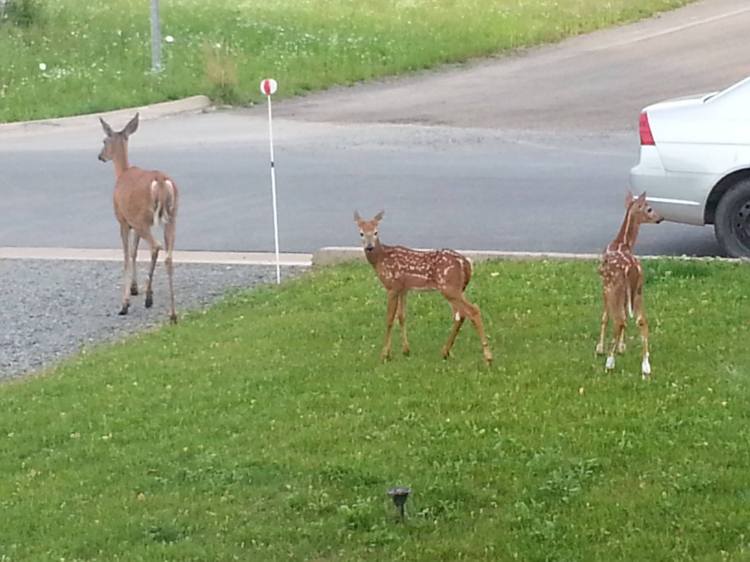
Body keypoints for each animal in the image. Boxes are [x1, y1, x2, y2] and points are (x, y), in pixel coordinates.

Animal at [98, 113, 179, 323]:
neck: (122, 172)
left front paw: (125, 302)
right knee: (168, 256)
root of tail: (160, 181)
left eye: (104, 140)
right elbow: (134, 252)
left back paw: (148, 298)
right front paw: (134, 289)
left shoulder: (123, 220)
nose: (100, 156)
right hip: (172, 217)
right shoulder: (133, 222)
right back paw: (173, 314)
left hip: (144, 220)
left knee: (155, 246)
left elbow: (126, 256)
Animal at [354, 211, 493, 365]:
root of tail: (466, 263)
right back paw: (446, 351)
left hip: (449, 288)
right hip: (457, 289)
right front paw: (406, 350)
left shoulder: (392, 286)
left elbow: (389, 319)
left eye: (376, 232)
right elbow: (401, 316)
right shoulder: (403, 289)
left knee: (473, 311)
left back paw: (488, 357)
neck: (380, 258)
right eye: (361, 233)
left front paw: (385, 354)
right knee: (460, 315)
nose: (369, 247)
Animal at [596, 191, 662, 378]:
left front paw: (600, 348)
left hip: (615, 286)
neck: (621, 242)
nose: (660, 218)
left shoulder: (605, 285)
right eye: (649, 208)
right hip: (638, 290)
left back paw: (609, 362)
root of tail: (632, 268)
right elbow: (626, 315)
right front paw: (622, 346)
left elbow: (606, 316)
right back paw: (646, 366)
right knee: (641, 320)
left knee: (619, 320)